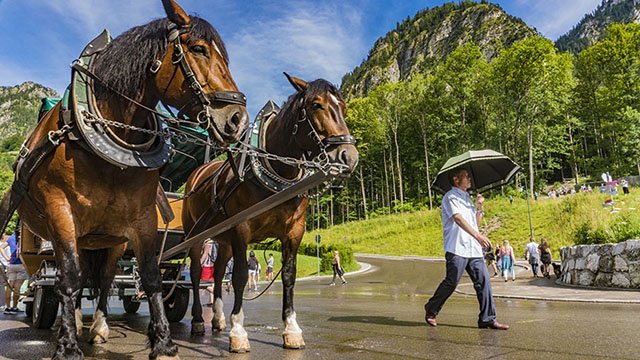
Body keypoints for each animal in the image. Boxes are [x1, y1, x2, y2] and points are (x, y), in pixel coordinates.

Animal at [13, 1, 248, 358]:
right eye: (198, 49)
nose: (237, 120)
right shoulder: (60, 211)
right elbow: (67, 279)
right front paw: (67, 344)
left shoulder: (142, 217)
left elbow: (150, 276)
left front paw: (163, 341)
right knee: (61, 280)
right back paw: (69, 321)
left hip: (110, 239)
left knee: (105, 277)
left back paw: (97, 325)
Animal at [182, 73, 358, 352]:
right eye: (316, 105)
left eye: (344, 107)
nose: (348, 158)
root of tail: (198, 172)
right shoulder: (241, 228)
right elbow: (240, 276)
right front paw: (239, 331)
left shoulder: (294, 232)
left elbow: (288, 277)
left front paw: (292, 329)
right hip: (196, 234)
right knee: (199, 272)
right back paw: (199, 320)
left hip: (224, 238)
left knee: (219, 273)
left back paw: (218, 319)